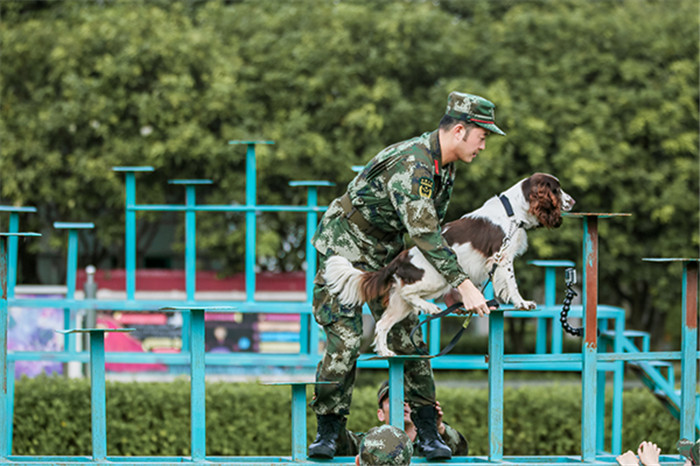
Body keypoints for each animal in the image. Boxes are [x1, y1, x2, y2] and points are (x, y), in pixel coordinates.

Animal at [322, 173, 576, 354]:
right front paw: (522, 303)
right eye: (556, 189)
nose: (573, 200)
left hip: (400, 304)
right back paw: (430, 308)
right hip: (435, 279)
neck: (513, 211)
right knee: (407, 293)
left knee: (383, 323)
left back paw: (386, 352)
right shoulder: (502, 257)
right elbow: (512, 284)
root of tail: (399, 259)